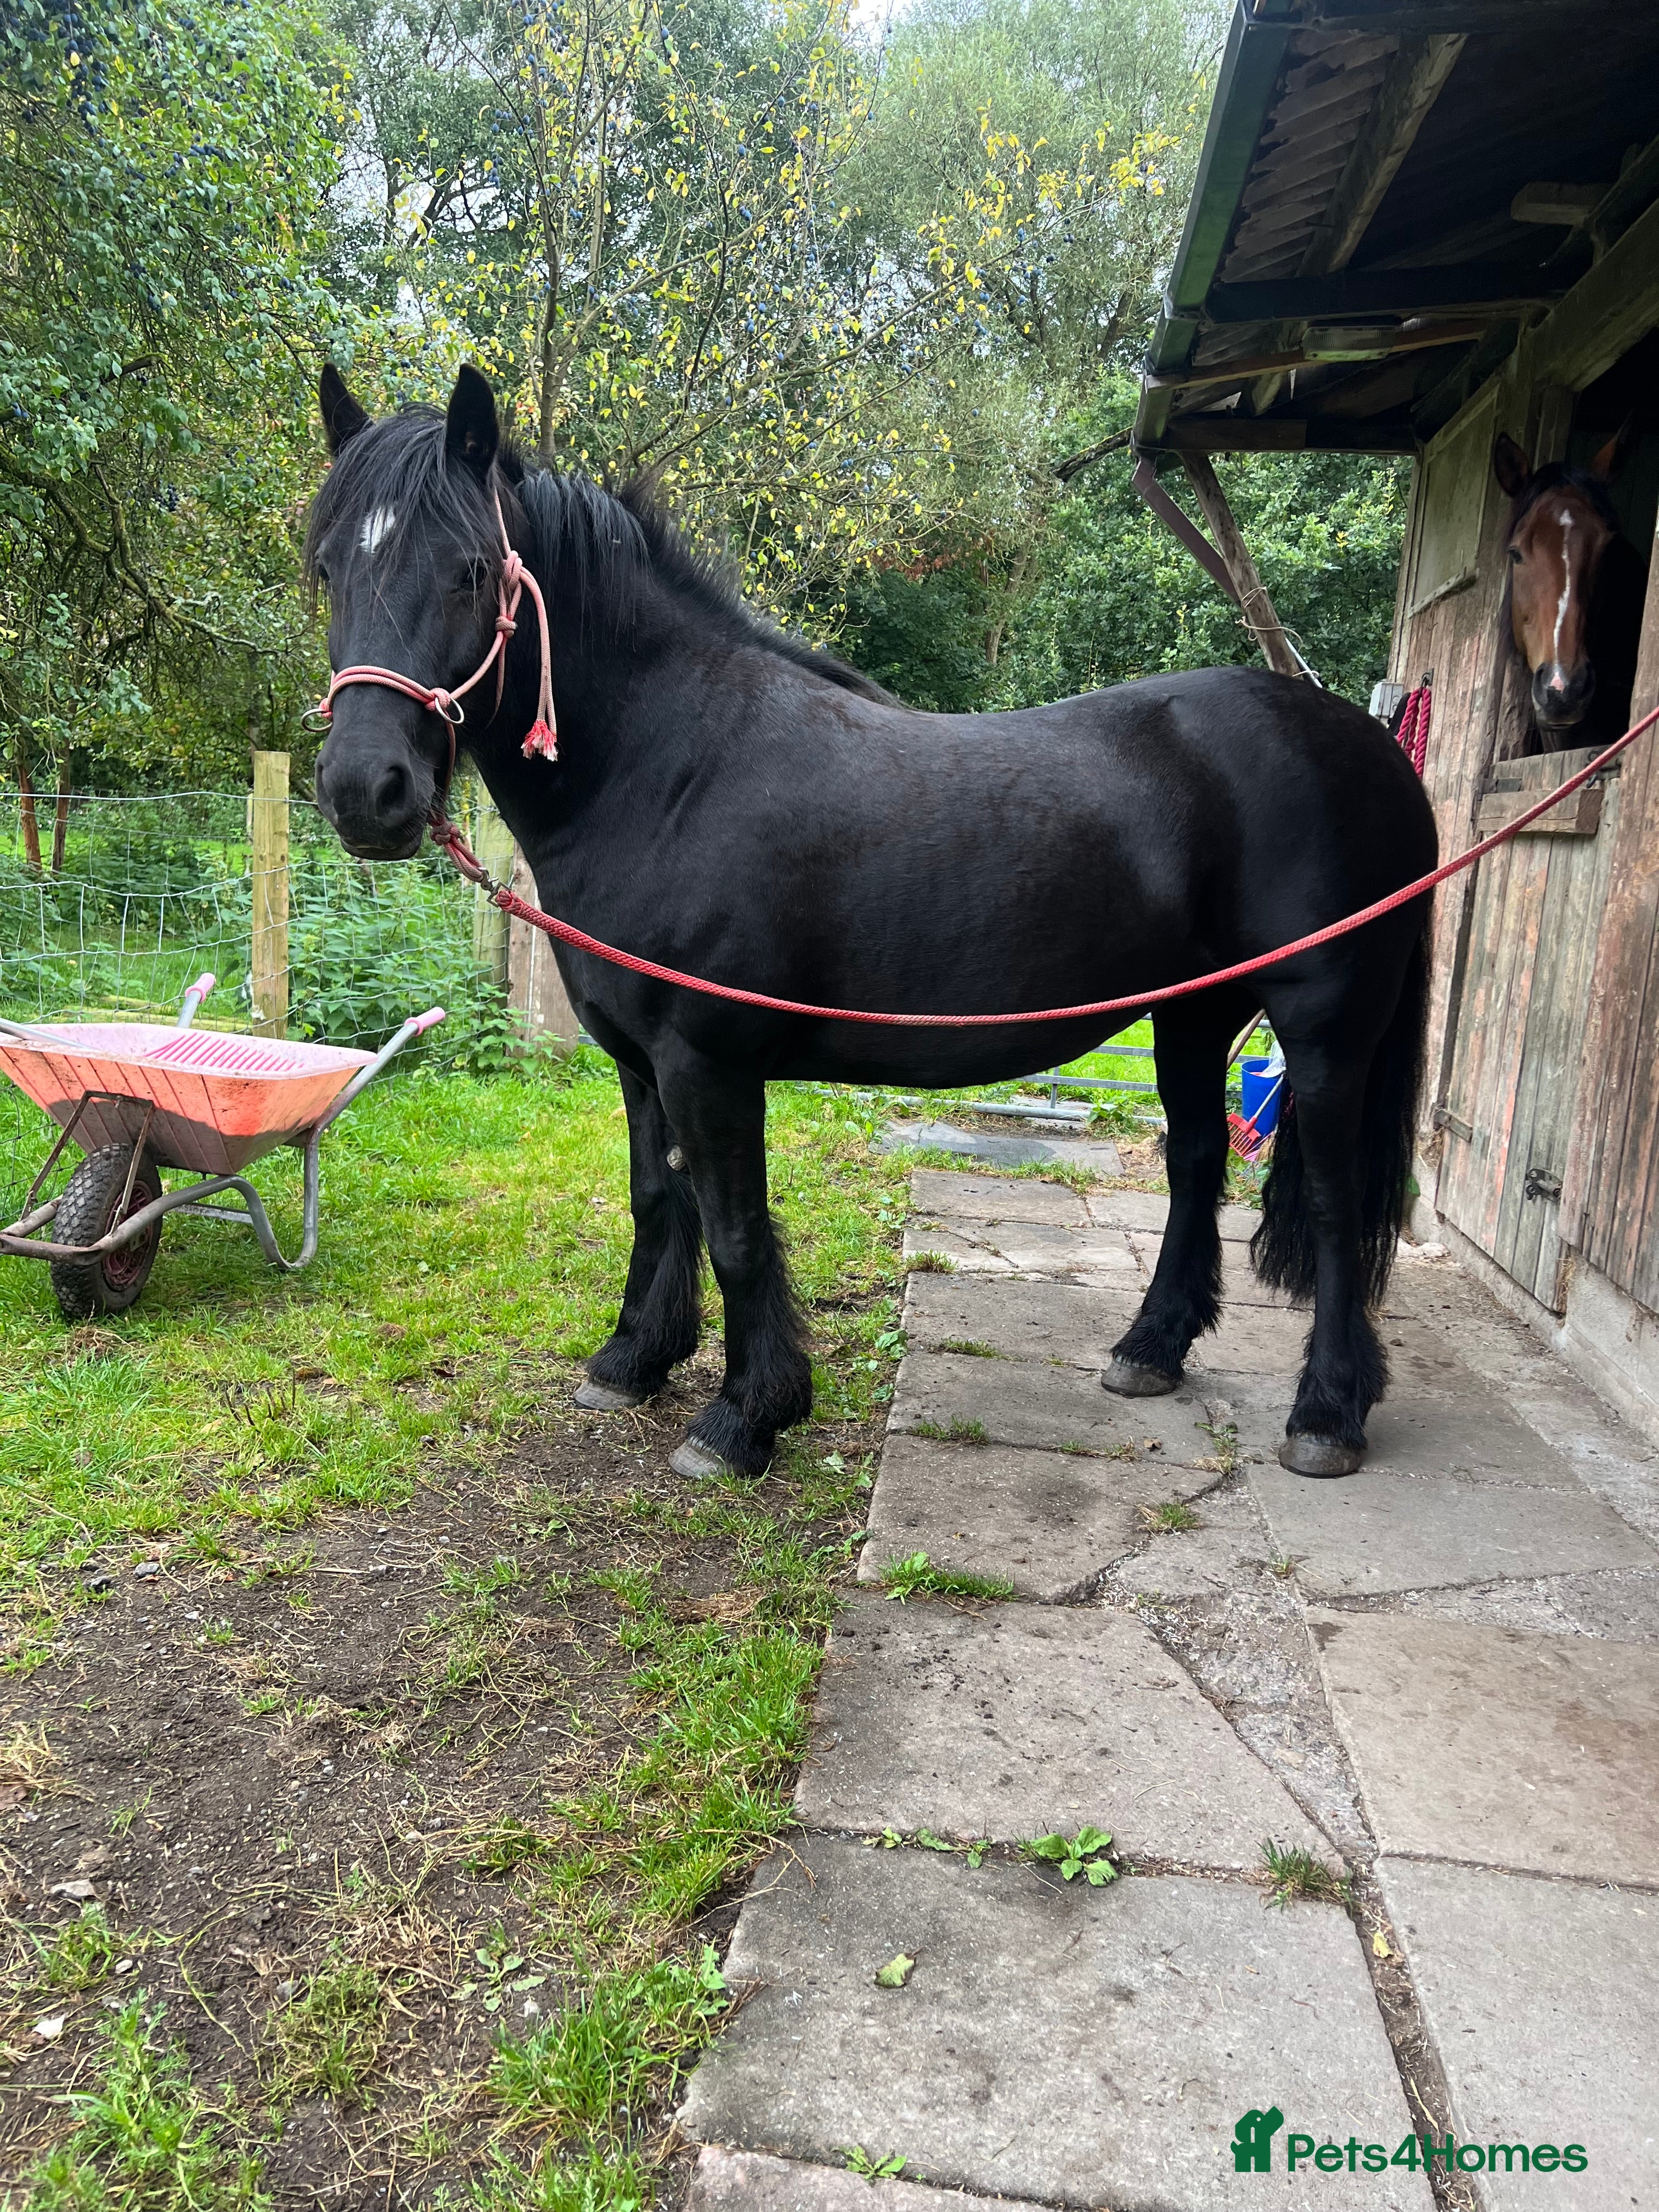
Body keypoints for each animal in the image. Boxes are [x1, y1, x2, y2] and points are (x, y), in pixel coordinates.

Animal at [305, 362, 1438, 1483]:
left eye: (469, 571)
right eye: (326, 568)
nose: (365, 791)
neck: (669, 770)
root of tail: (1370, 747)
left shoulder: (707, 1064)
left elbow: (734, 1229)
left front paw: (743, 1417)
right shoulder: (639, 1063)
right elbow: (655, 1199)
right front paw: (633, 1358)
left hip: (1323, 1030)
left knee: (1333, 1202)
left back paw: (1325, 1413)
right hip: (1192, 1015)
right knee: (1196, 1161)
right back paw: (1148, 1350)